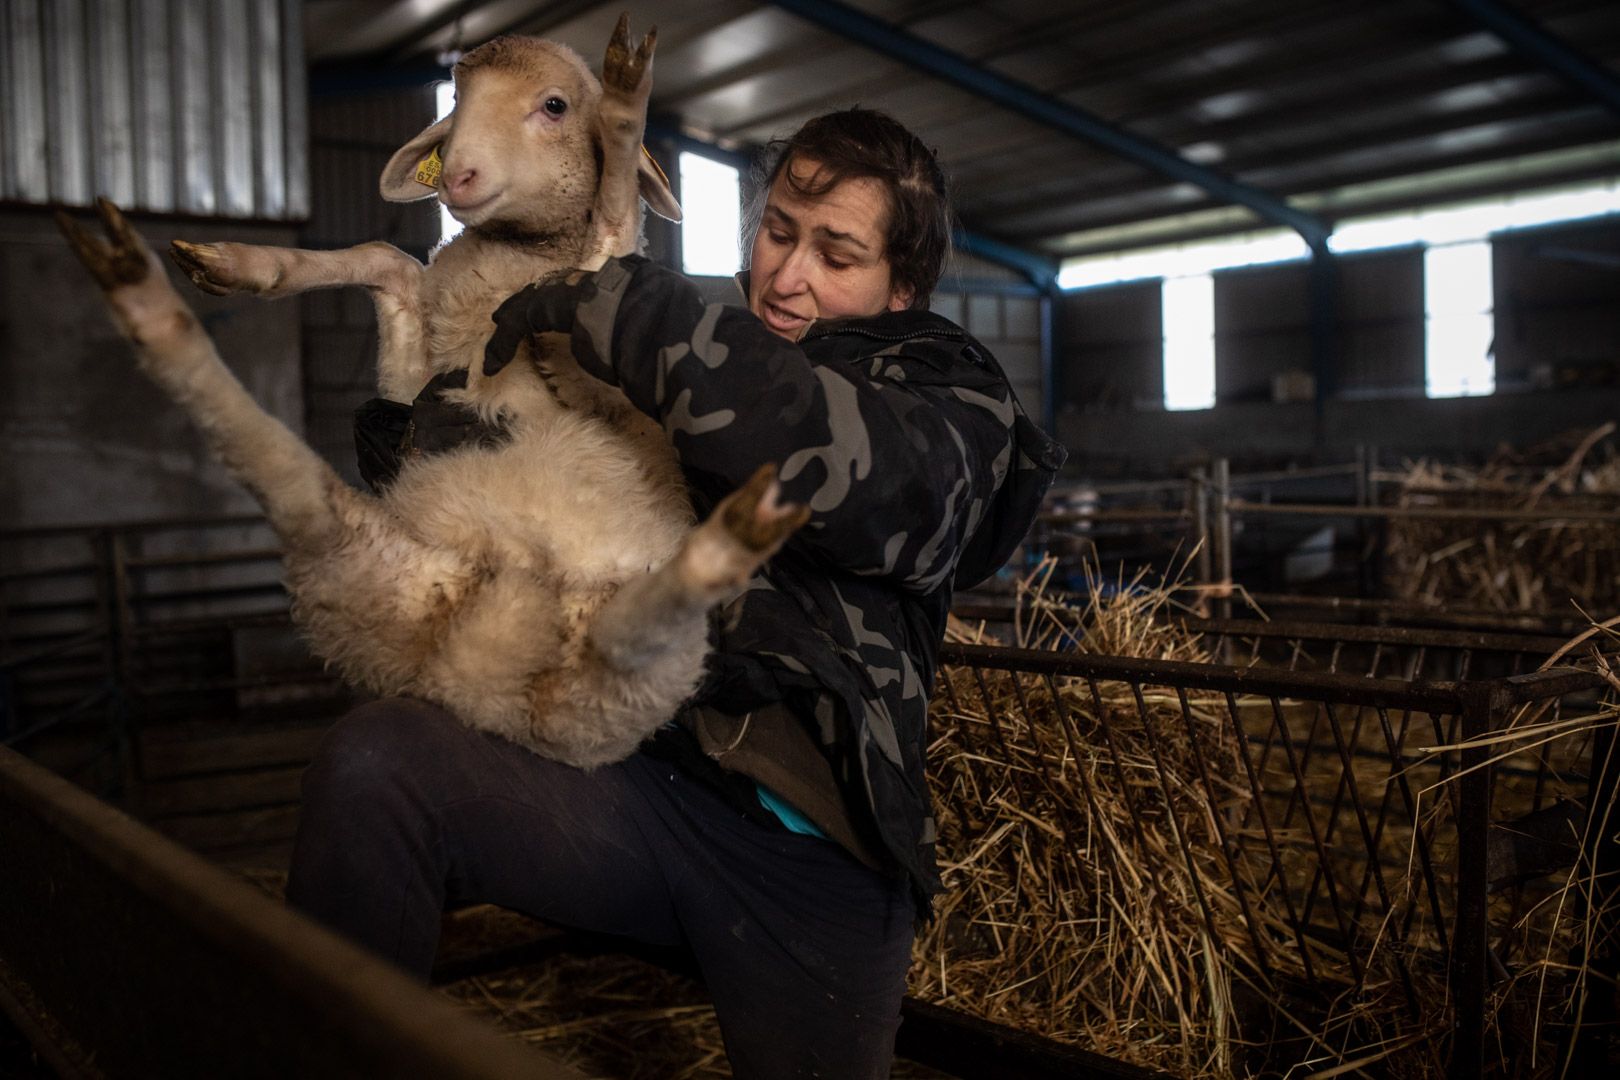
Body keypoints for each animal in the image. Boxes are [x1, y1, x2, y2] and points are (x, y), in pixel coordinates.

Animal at [61, 21, 810, 773]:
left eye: (556, 106)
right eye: (457, 99)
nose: (455, 177)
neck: (515, 262)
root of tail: (478, 670)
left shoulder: (600, 370)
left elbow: (610, 220)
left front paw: (627, 102)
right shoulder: (412, 374)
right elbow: (383, 258)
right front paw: (250, 264)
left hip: (621, 674)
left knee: (629, 631)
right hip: (370, 563)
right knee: (291, 485)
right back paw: (144, 292)